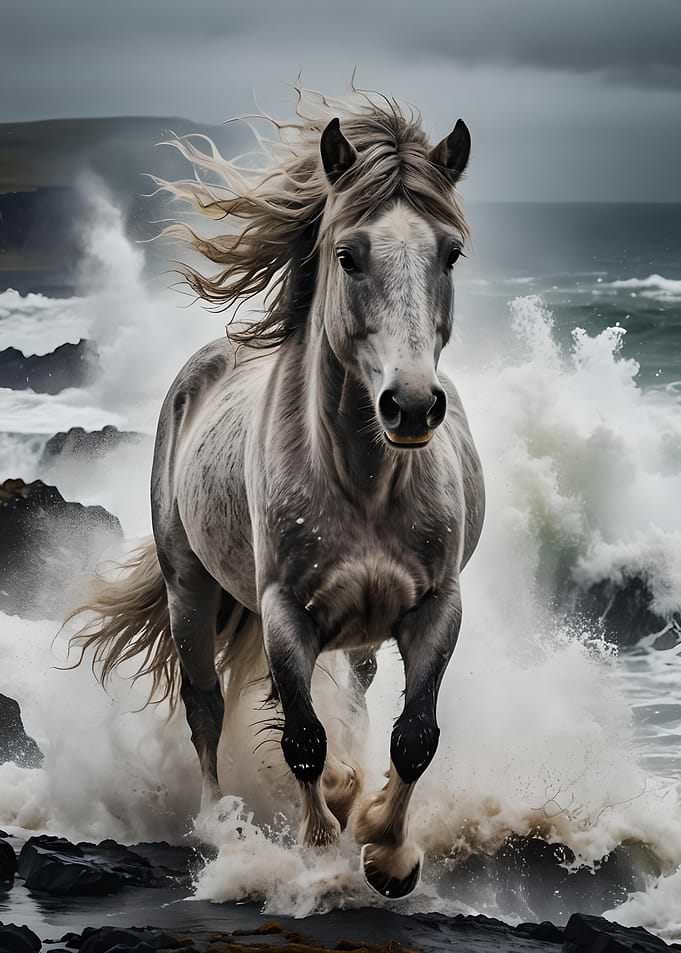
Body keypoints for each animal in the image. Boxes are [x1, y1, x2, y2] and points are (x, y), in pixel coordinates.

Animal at [70, 88, 485, 900]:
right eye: (348, 255)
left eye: (449, 253)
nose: (411, 407)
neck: (362, 481)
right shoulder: (285, 611)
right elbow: (300, 739)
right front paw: (322, 851)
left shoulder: (435, 606)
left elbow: (414, 736)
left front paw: (387, 849)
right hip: (190, 588)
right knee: (204, 707)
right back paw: (221, 826)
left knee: (355, 689)